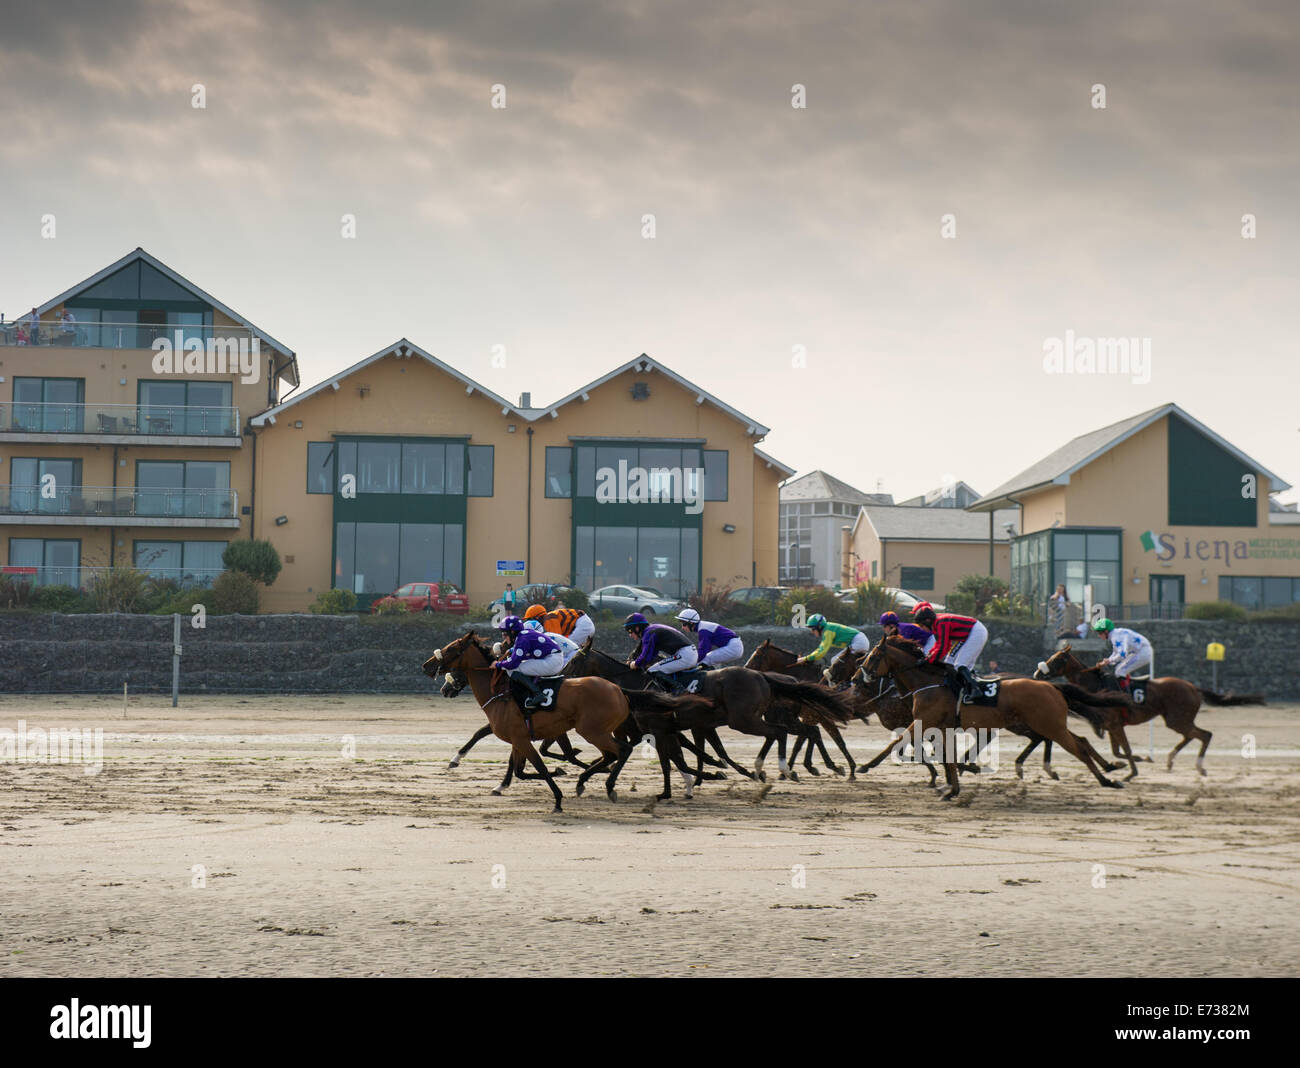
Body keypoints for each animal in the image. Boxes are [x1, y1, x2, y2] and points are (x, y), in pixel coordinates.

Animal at [857, 636, 1123, 800]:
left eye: (874, 657)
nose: (859, 677)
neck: (929, 682)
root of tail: (1052, 686)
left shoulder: (923, 722)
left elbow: (896, 742)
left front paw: (866, 765)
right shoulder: (941, 728)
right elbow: (948, 757)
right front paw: (952, 788)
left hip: (1048, 725)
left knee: (1078, 748)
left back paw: (1107, 780)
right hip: (1045, 724)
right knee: (1079, 741)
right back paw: (1108, 771)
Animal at [1029, 644, 1263, 779]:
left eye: (1056, 659)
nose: (1037, 674)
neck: (1095, 684)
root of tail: (1193, 687)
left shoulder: (1115, 724)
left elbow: (1125, 749)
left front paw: (1132, 771)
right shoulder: (1111, 725)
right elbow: (1119, 751)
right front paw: (1132, 761)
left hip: (1177, 719)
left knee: (1204, 735)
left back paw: (1199, 767)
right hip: (1176, 720)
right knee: (1192, 735)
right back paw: (1171, 760)